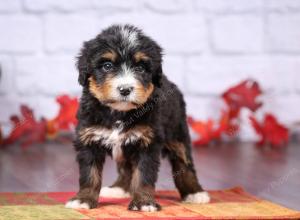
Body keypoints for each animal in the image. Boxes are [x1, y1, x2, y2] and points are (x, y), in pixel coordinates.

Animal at [66, 24, 210, 211]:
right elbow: (89, 174)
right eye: (107, 66)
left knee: (184, 163)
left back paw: (195, 193)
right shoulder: (89, 138)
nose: (125, 89)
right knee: (125, 167)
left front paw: (143, 202)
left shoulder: (147, 141)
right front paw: (83, 199)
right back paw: (119, 188)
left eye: (140, 68)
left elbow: (143, 175)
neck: (119, 113)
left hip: (177, 132)